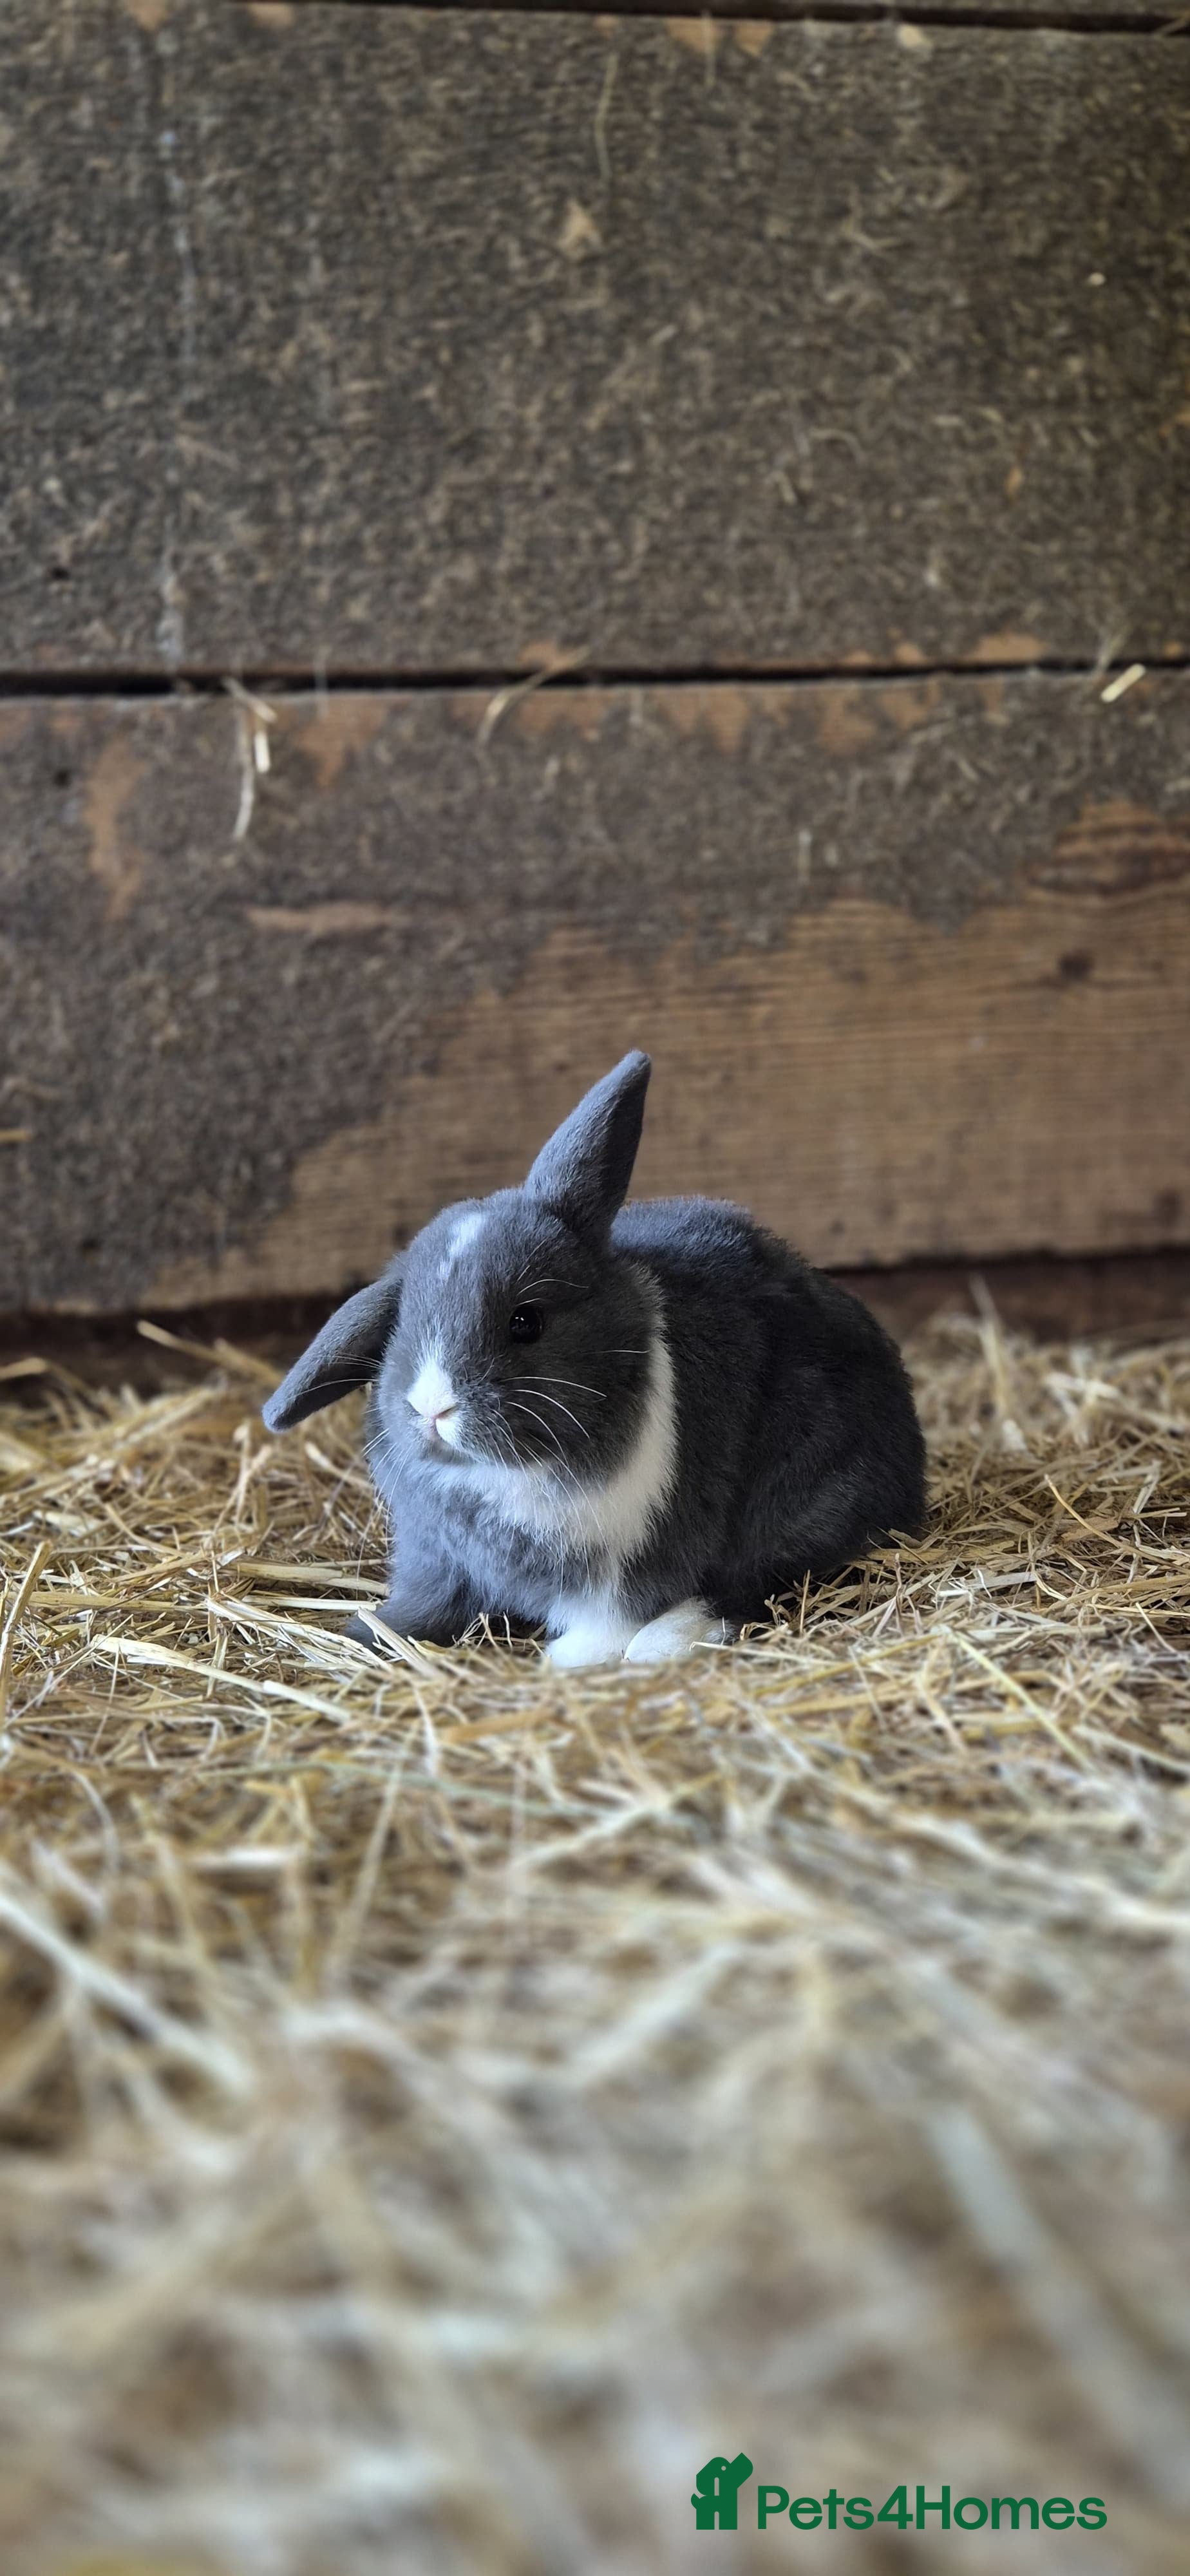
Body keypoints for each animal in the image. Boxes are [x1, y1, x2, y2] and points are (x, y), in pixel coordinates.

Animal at [261, 1052, 927, 1666]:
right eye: (400, 1326)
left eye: (526, 1322)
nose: (432, 1408)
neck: (501, 1477)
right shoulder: (438, 1564)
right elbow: (417, 1612)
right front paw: (363, 1636)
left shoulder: (625, 1567)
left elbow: (612, 1616)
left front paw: (568, 1661)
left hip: (803, 1498)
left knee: (757, 1582)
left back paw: (663, 1640)